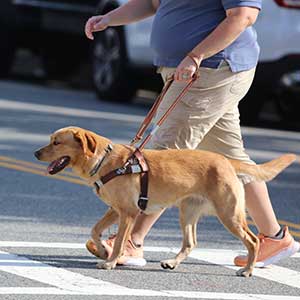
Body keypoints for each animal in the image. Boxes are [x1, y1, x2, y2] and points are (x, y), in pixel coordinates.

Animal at [34, 126, 296, 276]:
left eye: (56, 142)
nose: (35, 153)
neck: (105, 161)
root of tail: (227, 161)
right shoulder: (115, 210)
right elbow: (95, 229)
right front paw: (101, 249)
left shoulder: (128, 213)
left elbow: (119, 242)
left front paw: (110, 261)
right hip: (188, 212)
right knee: (190, 243)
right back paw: (172, 262)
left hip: (228, 213)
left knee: (252, 241)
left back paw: (248, 269)